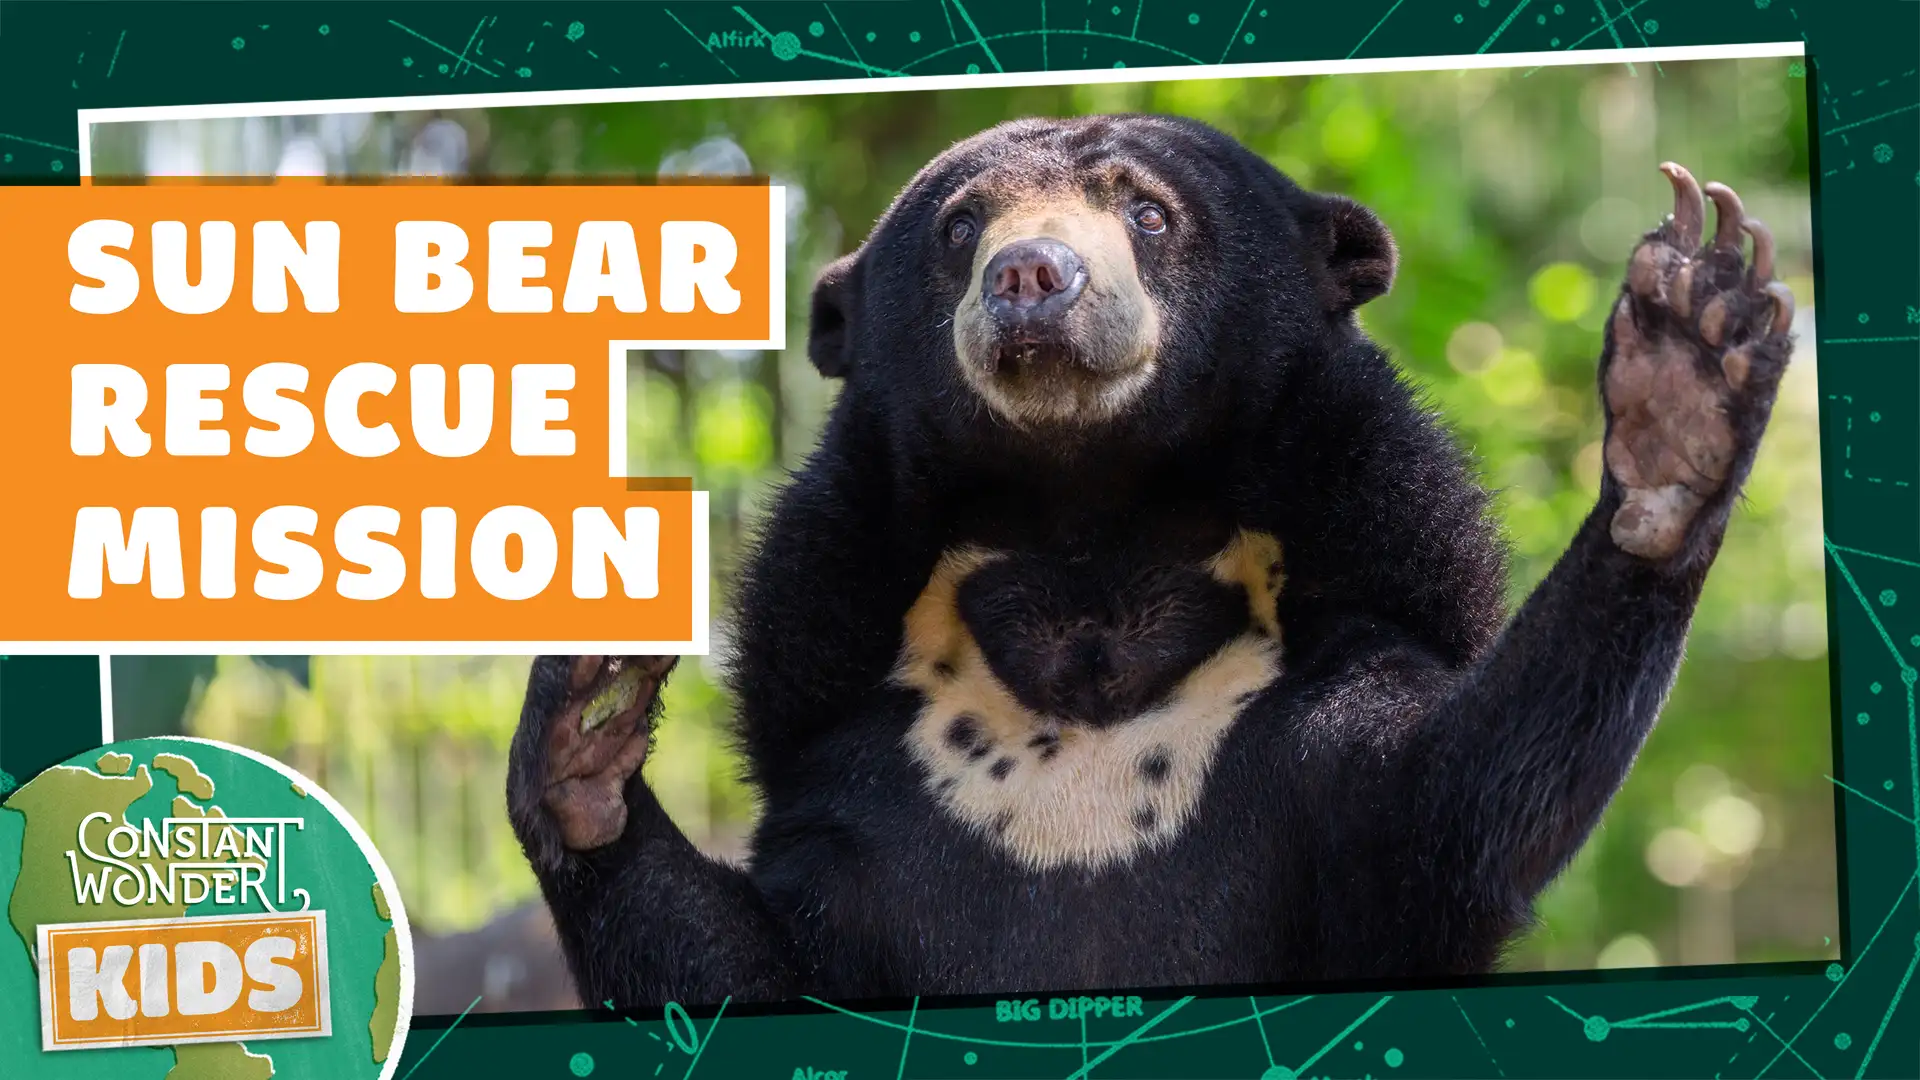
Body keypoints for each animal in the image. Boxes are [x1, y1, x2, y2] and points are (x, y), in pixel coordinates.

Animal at [506, 114, 1796, 1008]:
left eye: (1150, 214)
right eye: (962, 229)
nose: (1031, 276)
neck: (1090, 540)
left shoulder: (1341, 653)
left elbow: (1447, 804)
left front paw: (1686, 374)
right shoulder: (849, 751)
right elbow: (753, 964)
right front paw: (585, 722)